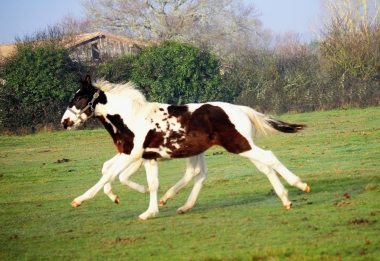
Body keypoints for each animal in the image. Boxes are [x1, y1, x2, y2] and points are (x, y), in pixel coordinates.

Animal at [62, 75, 310, 219]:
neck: (129, 118)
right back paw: (286, 199)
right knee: (260, 167)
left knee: (269, 157)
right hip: (240, 146)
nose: (65, 122)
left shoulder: (131, 155)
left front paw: (79, 200)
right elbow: (143, 181)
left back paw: (298, 186)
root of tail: (241, 109)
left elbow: (108, 175)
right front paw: (148, 209)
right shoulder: (145, 156)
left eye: (79, 99)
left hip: (239, 145)